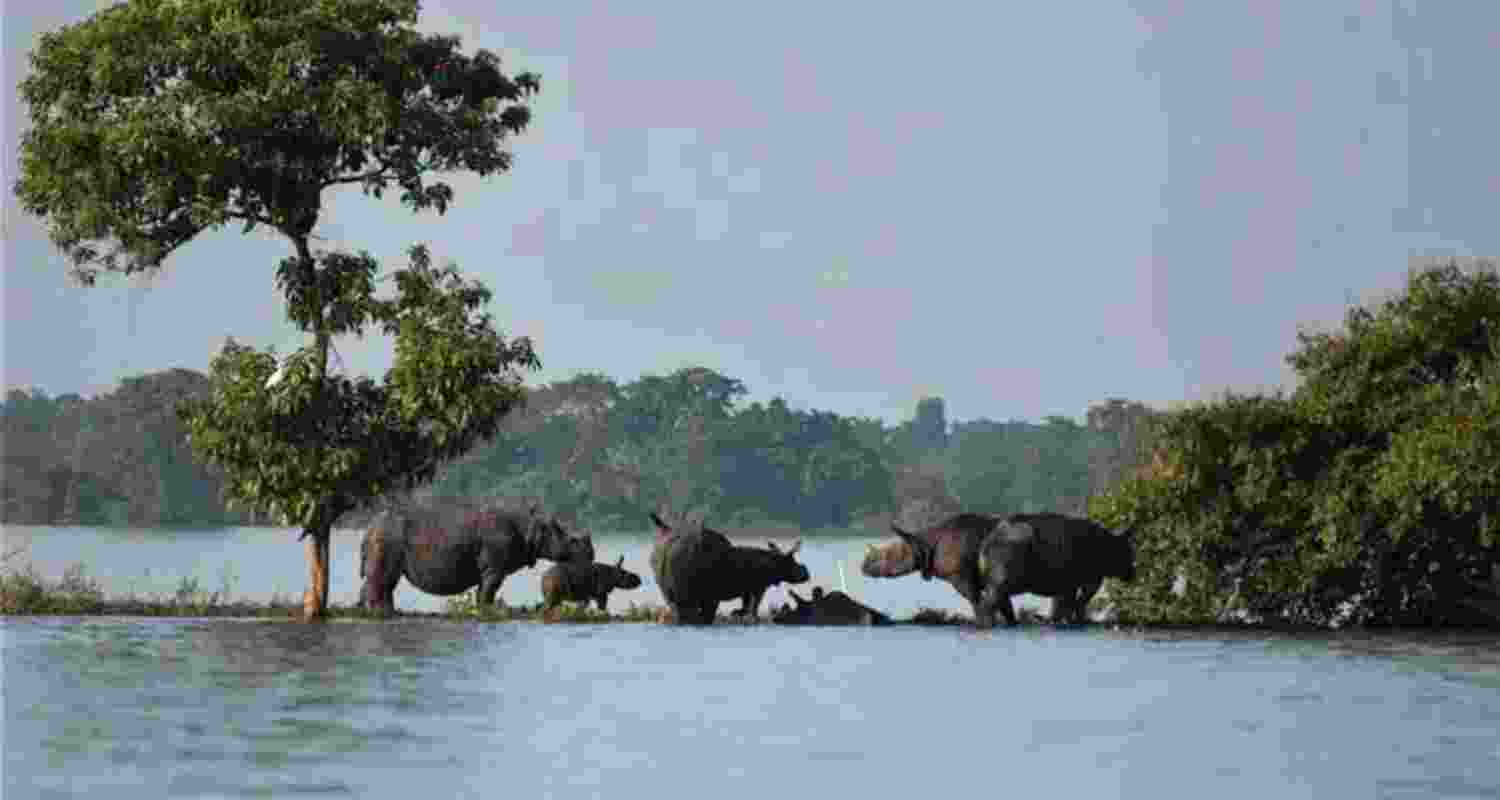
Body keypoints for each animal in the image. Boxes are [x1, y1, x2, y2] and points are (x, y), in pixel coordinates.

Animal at [360, 506, 595, 615]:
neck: (529, 526)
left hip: (384, 535)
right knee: (384, 577)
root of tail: (369, 526)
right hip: (388, 536)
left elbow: (483, 590)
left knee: (384, 579)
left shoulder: (489, 568)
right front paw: (489, 611)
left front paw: (481, 610)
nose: (590, 553)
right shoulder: (495, 567)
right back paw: (382, 612)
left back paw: (377, 611)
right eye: (568, 538)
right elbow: (489, 590)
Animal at [975, 512, 1137, 627]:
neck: (1107, 546)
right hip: (1004, 578)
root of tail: (986, 543)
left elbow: (1062, 606)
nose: (1132, 574)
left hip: (1004, 581)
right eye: (1128, 552)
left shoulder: (1066, 585)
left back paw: (1011, 623)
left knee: (1001, 602)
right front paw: (1076, 621)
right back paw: (989, 624)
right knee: (988, 602)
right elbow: (1077, 603)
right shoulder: (1087, 581)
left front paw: (1062, 621)